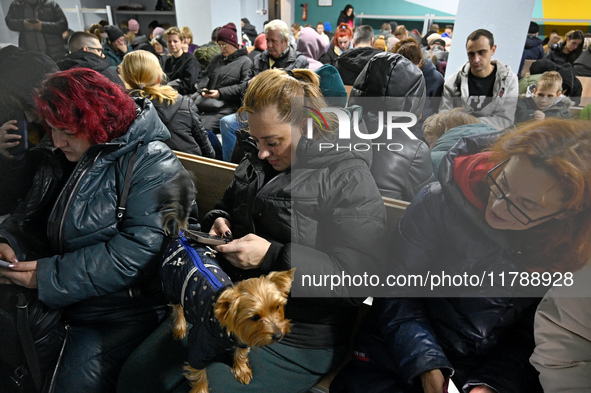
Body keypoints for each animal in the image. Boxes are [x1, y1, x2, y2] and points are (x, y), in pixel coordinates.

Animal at [160, 176, 296, 390]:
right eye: (254, 317)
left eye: (277, 307)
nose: (277, 335)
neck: (229, 329)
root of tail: (182, 236)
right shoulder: (200, 345)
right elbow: (199, 374)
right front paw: (200, 389)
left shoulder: (244, 338)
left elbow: (240, 353)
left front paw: (242, 369)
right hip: (170, 284)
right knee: (176, 307)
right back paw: (180, 326)